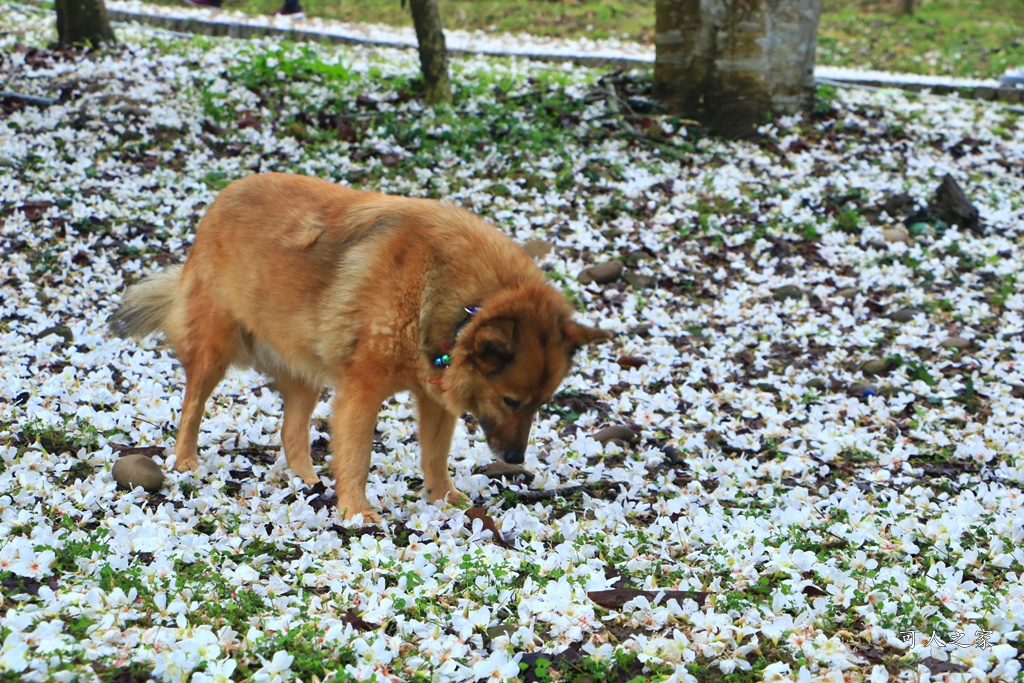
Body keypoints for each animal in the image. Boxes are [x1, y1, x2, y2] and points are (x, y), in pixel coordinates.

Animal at [109, 174, 610, 520]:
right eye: (511, 401)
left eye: (540, 404)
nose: (515, 460)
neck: (464, 301)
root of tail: (221, 199)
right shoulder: (359, 394)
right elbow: (357, 457)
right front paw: (355, 512)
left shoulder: (434, 400)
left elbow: (434, 456)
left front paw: (445, 498)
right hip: (214, 349)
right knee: (192, 406)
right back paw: (186, 460)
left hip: (305, 370)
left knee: (292, 433)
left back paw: (308, 482)